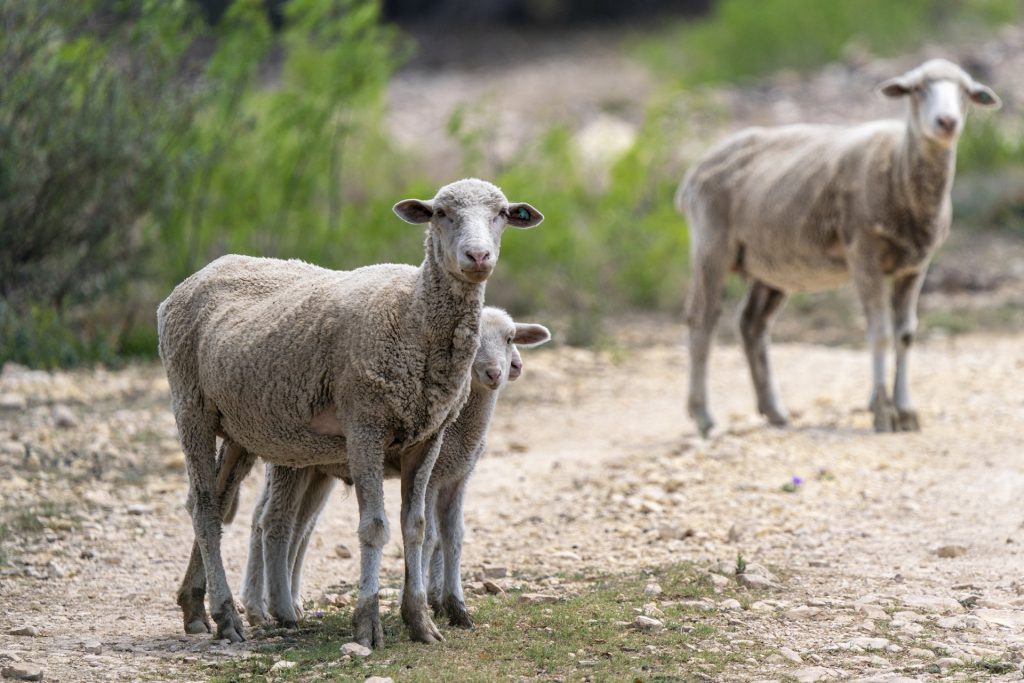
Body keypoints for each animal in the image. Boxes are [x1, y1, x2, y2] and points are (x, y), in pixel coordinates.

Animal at [237, 309, 552, 630]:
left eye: (510, 338)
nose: (498, 372)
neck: (463, 426)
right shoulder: (433, 476)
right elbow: (431, 538)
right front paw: (423, 602)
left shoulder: (456, 477)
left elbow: (453, 536)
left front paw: (453, 606)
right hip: (287, 461)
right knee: (273, 520)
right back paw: (271, 609)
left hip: (314, 470)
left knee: (297, 525)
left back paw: (277, 603)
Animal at [675, 57, 1003, 432]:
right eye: (917, 89)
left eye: (966, 91)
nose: (947, 122)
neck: (899, 165)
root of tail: (692, 174)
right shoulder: (864, 254)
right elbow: (880, 333)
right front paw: (882, 412)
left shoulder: (915, 265)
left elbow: (905, 334)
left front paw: (906, 411)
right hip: (711, 244)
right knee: (702, 321)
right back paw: (704, 418)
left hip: (773, 262)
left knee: (751, 324)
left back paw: (775, 412)